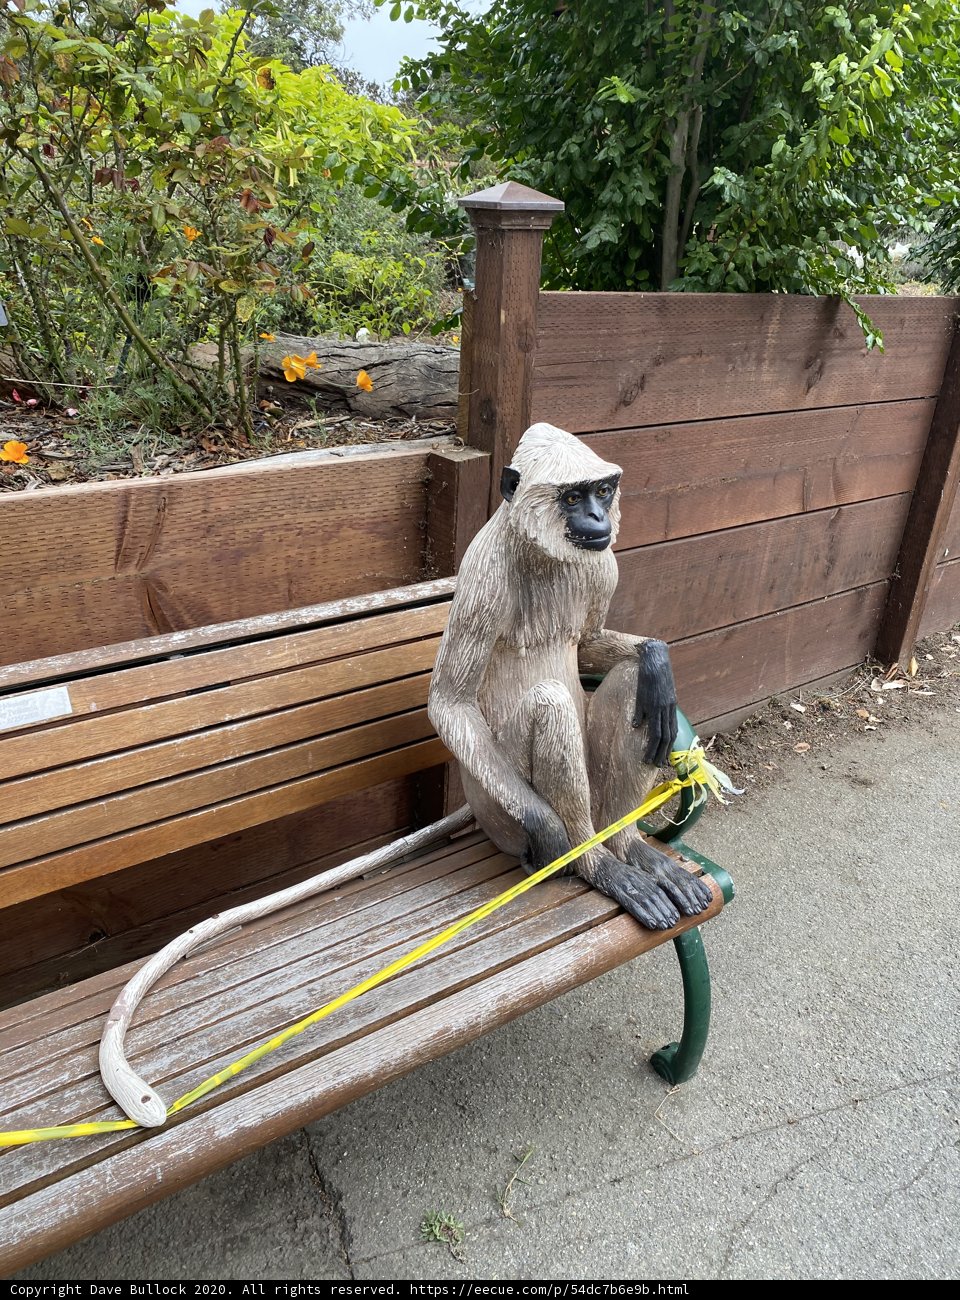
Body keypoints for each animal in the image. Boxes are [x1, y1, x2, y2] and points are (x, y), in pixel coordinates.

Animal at [428, 421, 714, 930]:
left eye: (602, 491)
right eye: (574, 497)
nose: (598, 516)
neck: (540, 553)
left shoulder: (603, 564)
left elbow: (591, 646)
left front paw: (657, 658)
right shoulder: (483, 570)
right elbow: (449, 702)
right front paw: (549, 830)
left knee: (637, 688)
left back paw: (628, 846)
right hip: (495, 808)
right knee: (551, 702)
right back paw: (594, 863)